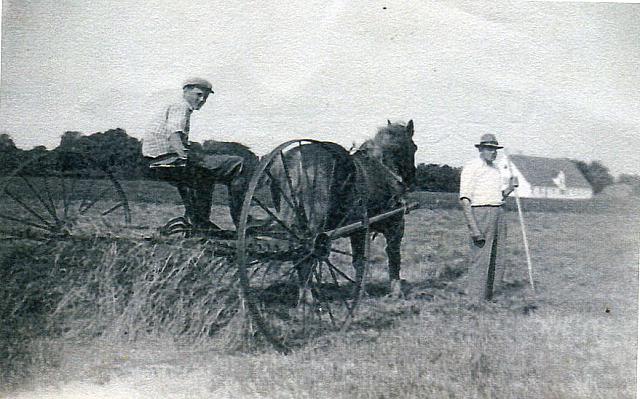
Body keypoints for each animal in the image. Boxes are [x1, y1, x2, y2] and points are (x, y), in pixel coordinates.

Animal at [268, 120, 416, 290]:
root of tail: (297, 160)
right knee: (306, 256)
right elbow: (393, 257)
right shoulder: (395, 224)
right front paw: (396, 290)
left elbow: (359, 261)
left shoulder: (358, 230)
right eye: (414, 147)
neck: (383, 170)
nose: (412, 179)